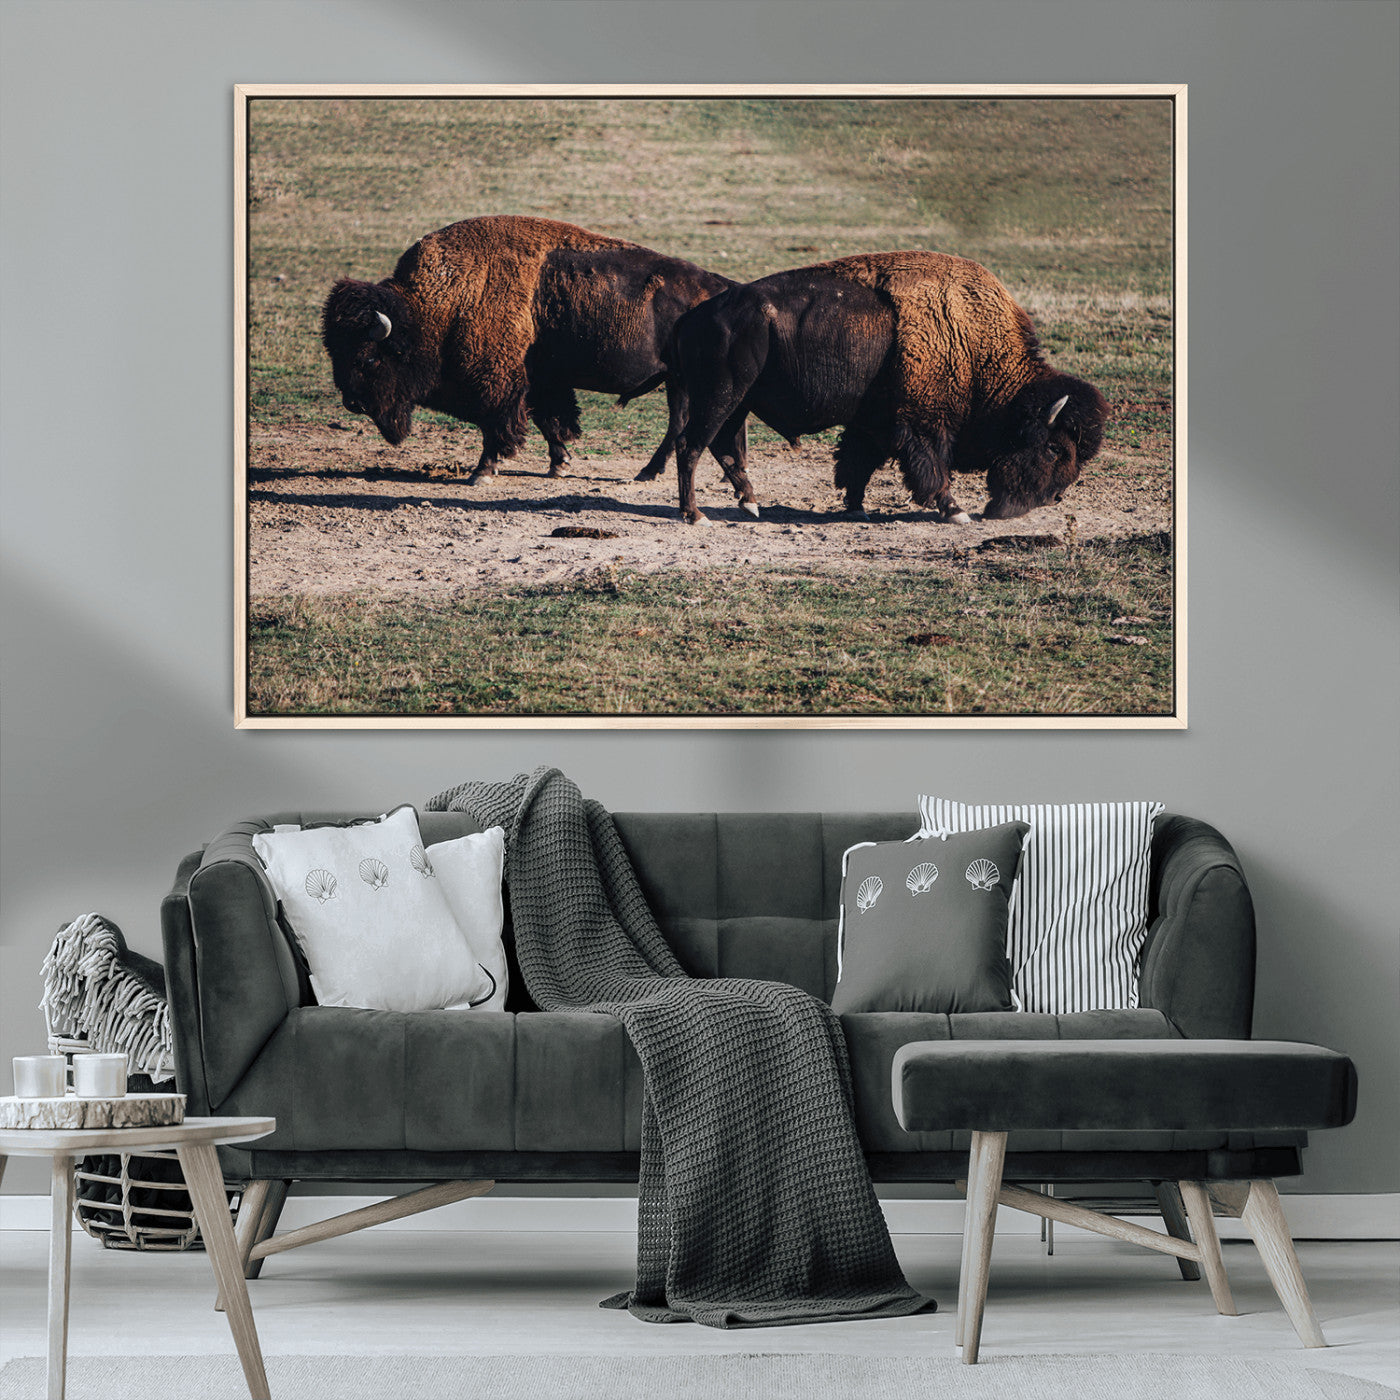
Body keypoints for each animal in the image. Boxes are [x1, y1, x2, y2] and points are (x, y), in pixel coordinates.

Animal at [322, 215, 746, 486]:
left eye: (369, 357)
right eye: (334, 352)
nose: (353, 403)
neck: (438, 306)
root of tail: (724, 289)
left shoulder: (498, 384)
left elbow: (497, 425)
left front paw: (482, 473)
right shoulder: (539, 380)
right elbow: (548, 420)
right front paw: (559, 464)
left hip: (682, 381)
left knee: (679, 424)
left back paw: (647, 473)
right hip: (678, 381)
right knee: (680, 422)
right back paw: (648, 472)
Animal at [664, 251, 1108, 524]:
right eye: (1054, 448)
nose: (1052, 498)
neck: (972, 343)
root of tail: (692, 317)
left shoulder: (873, 424)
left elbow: (856, 464)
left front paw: (855, 508)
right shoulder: (921, 425)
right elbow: (931, 468)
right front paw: (956, 511)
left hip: (737, 402)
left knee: (722, 447)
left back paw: (750, 504)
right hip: (720, 397)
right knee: (691, 445)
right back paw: (696, 515)